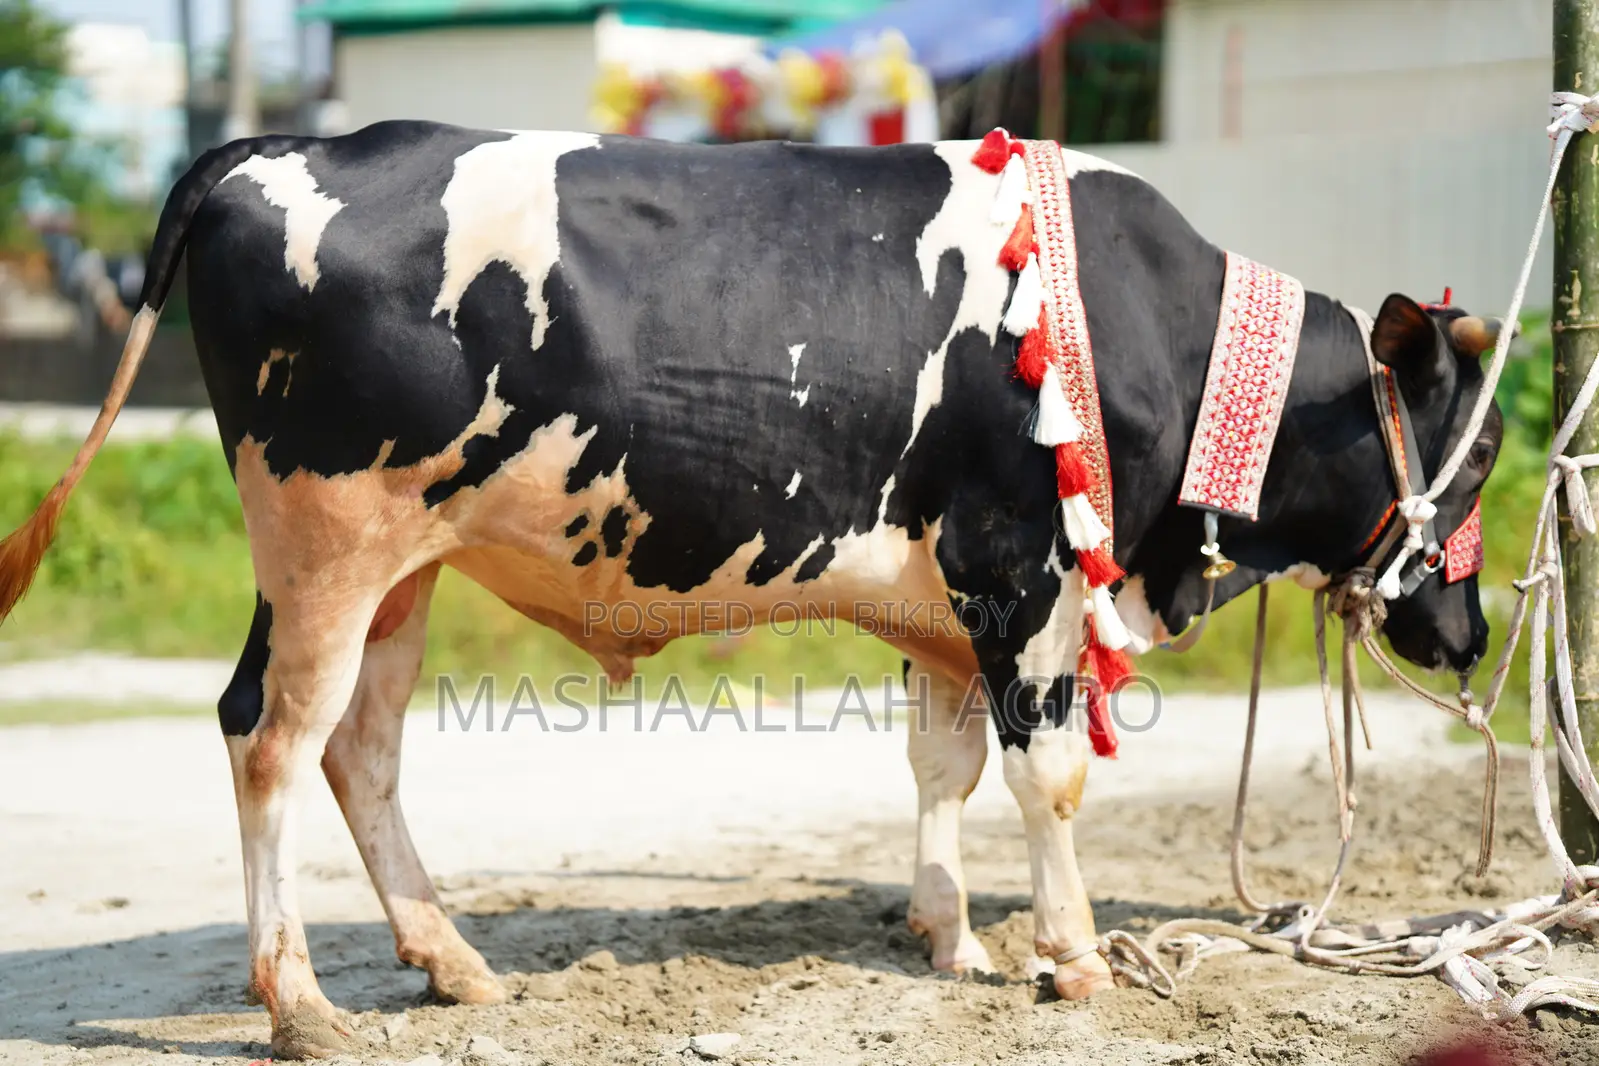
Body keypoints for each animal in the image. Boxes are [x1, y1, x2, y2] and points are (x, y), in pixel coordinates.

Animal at [0, 123, 1502, 1059]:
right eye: (1479, 451)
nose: (1473, 631)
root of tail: (282, 147)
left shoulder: (944, 595)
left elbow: (943, 766)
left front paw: (948, 934)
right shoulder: (1020, 563)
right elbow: (1048, 774)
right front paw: (1068, 956)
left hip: (398, 567)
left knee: (355, 747)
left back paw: (452, 959)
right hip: (326, 540)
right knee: (273, 736)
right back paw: (300, 1003)